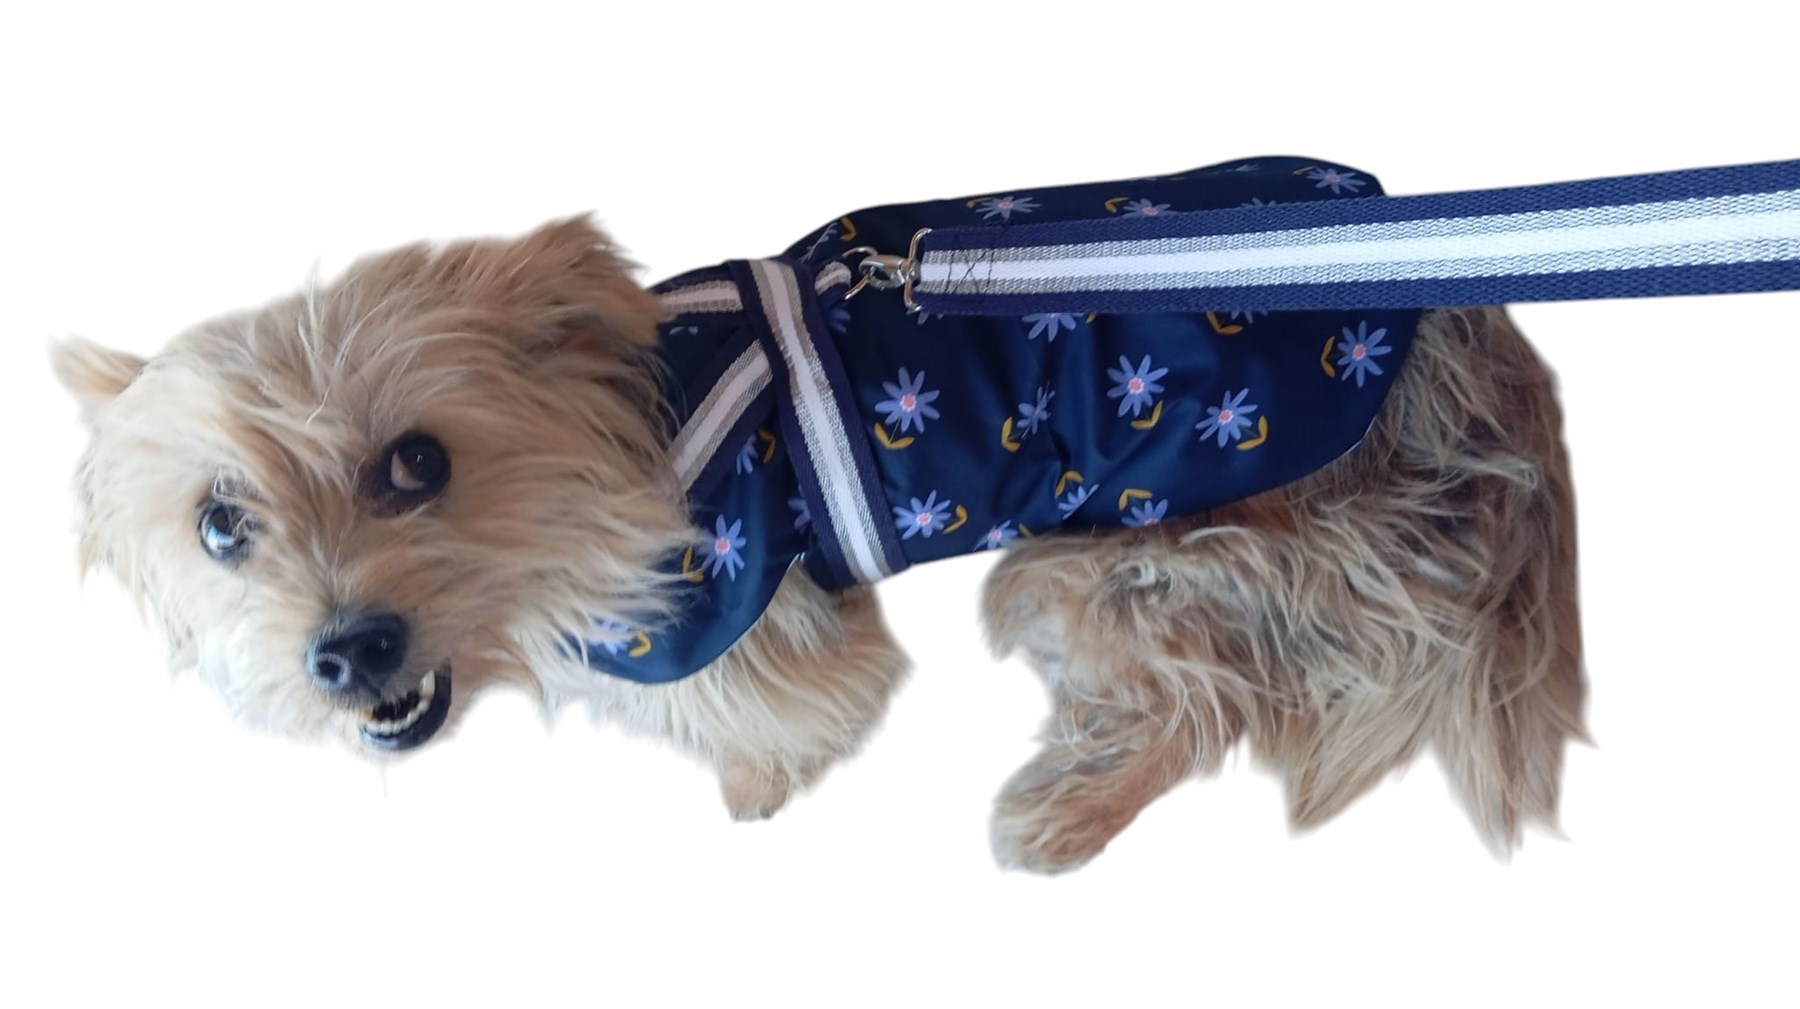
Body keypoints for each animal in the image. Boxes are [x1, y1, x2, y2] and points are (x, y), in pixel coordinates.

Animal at [51, 160, 1583, 873]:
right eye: (220, 524)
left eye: (418, 461)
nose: (347, 652)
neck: (626, 446)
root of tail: (1453, 301)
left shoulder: (737, 614)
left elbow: (785, 709)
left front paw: (757, 780)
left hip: (1120, 555)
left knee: (1212, 693)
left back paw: (1061, 813)